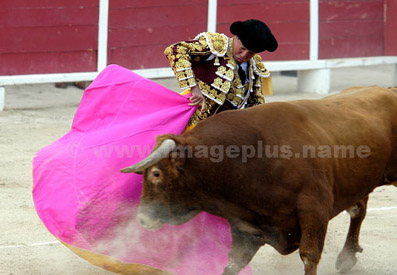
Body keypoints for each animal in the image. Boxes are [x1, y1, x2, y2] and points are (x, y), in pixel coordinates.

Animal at [121, 87, 396, 275]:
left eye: (156, 174)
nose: (142, 219)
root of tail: (388, 90)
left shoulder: (314, 209)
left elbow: (309, 256)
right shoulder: (247, 227)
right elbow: (233, 263)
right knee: (358, 209)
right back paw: (347, 258)